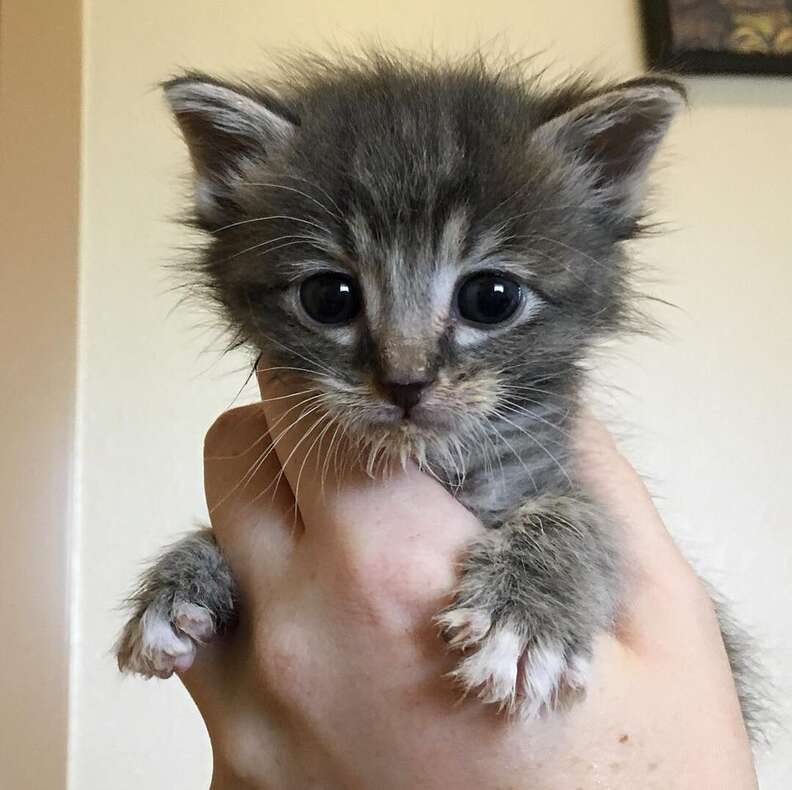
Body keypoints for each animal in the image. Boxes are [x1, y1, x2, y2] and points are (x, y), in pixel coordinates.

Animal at [116, 49, 756, 732]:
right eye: (328, 297)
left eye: (491, 298)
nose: (406, 381)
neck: (430, 461)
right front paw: (180, 578)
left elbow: (585, 519)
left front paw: (523, 618)